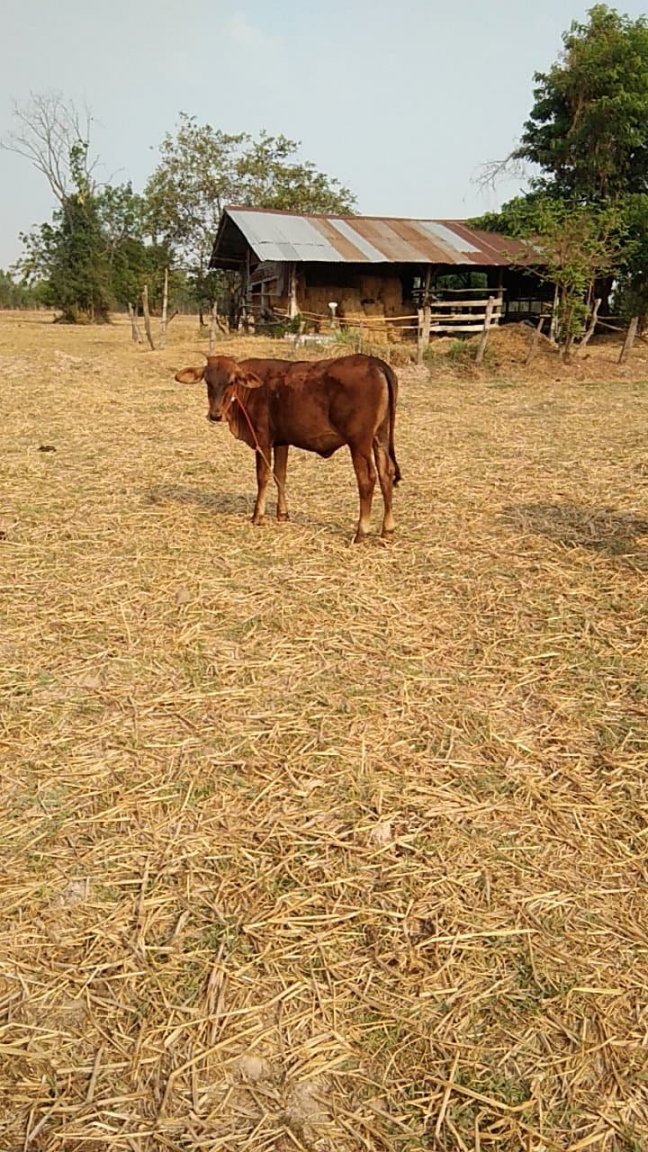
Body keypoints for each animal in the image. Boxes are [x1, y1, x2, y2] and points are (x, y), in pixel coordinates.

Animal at [174, 353, 401, 542]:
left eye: (231, 381)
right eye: (208, 381)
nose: (215, 415)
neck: (251, 392)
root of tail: (374, 362)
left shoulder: (262, 439)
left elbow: (263, 477)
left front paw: (258, 515)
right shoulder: (282, 441)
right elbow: (280, 475)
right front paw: (282, 513)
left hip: (359, 442)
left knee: (367, 478)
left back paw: (362, 532)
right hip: (380, 436)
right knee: (386, 473)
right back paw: (387, 530)